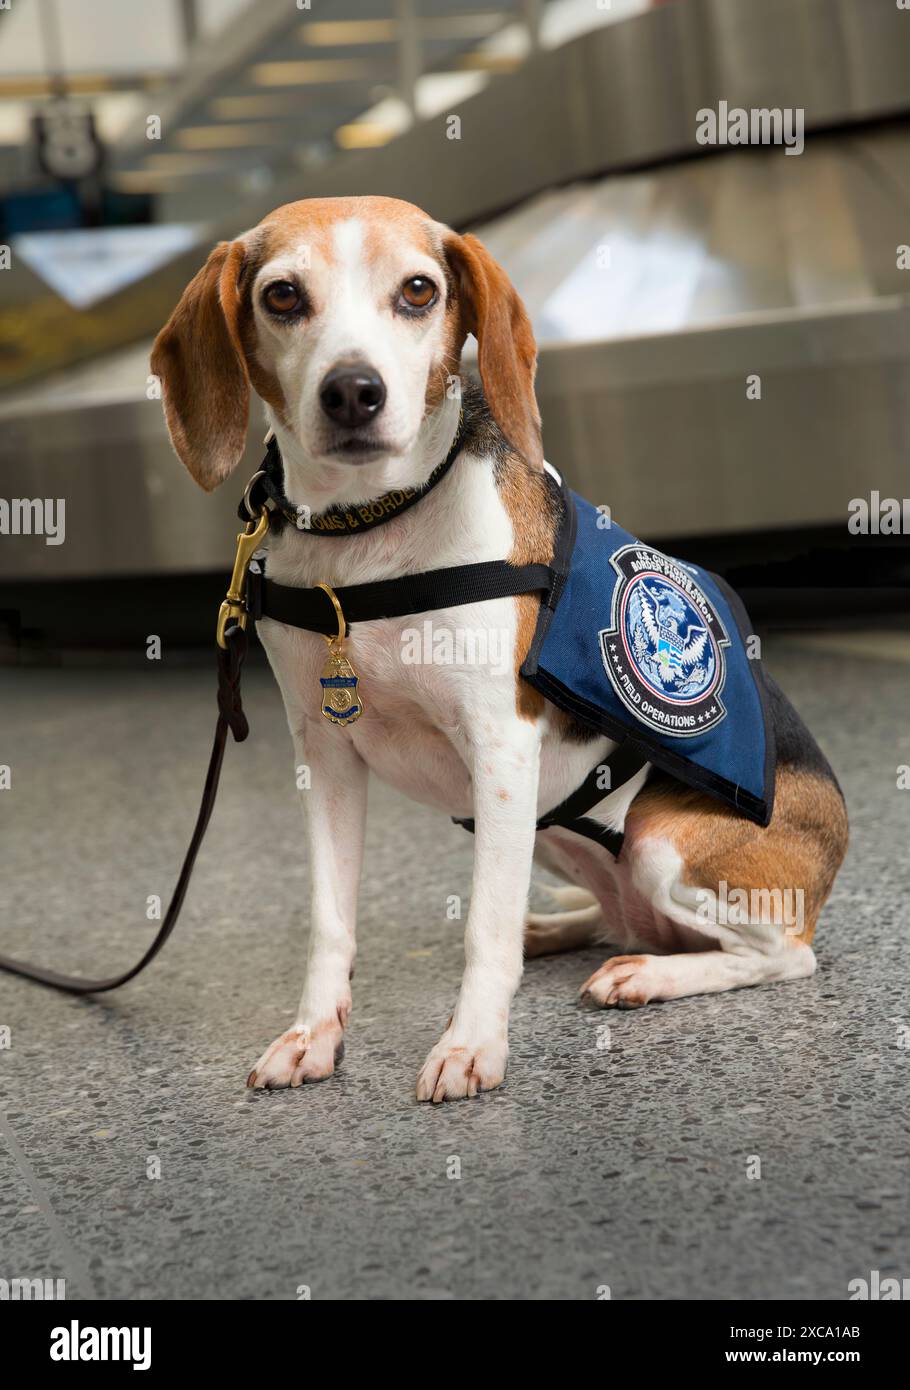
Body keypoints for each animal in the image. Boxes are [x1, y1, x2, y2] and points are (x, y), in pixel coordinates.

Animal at [151, 198, 855, 1106]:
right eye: (282, 296)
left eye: (418, 290)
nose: (353, 392)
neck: (371, 533)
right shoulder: (327, 759)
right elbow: (333, 921)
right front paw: (313, 1035)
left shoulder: (501, 750)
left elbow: (482, 930)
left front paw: (471, 1043)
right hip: (555, 831)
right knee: (614, 914)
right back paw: (558, 928)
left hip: (659, 845)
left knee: (777, 953)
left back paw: (648, 973)